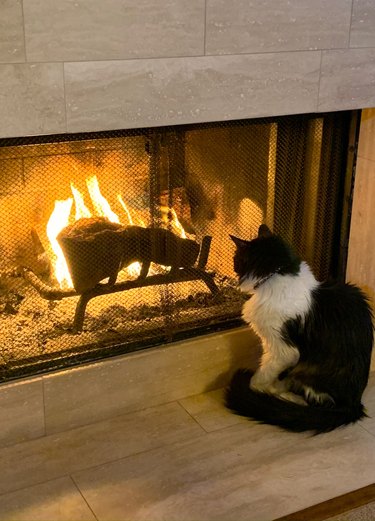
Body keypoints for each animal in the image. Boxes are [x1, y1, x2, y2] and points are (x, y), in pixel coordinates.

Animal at [225, 223, 374, 430]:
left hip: (307, 372)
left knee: (313, 401)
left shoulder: (282, 349)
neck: (277, 273)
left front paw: (259, 389)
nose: (233, 267)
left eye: (235, 259)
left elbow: (262, 375)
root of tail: (354, 405)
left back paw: (282, 395)